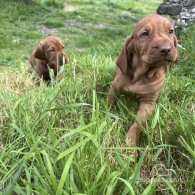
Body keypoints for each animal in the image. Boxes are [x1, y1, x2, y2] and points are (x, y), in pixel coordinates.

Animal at [108, 14, 178, 157]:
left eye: (171, 31)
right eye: (145, 33)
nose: (166, 49)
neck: (142, 75)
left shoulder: (148, 103)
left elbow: (137, 125)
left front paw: (129, 146)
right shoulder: (114, 88)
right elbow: (108, 105)